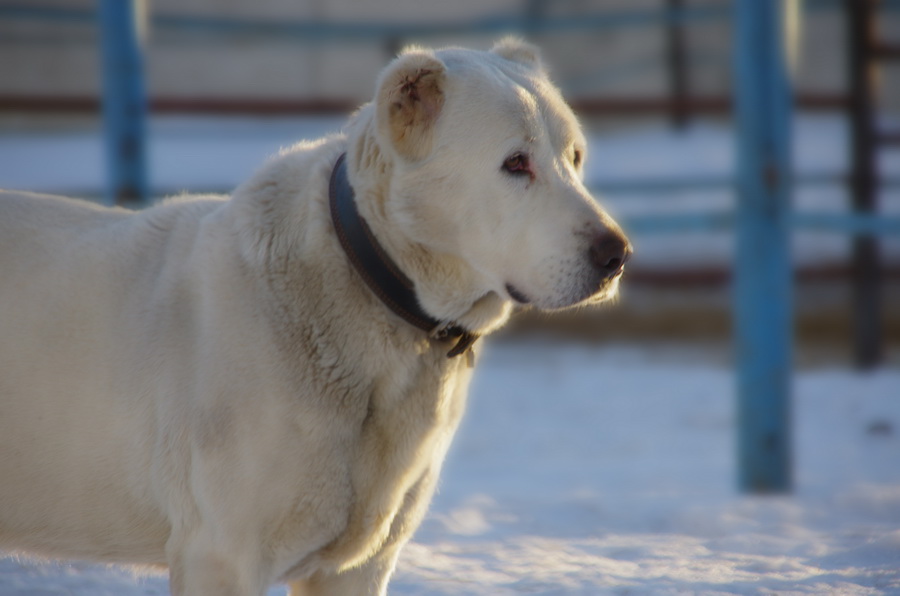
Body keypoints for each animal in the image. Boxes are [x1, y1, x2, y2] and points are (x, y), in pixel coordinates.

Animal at [0, 39, 632, 592]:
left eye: (575, 158)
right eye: (515, 163)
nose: (617, 255)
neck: (367, 282)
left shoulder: (356, 568)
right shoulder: (222, 557)